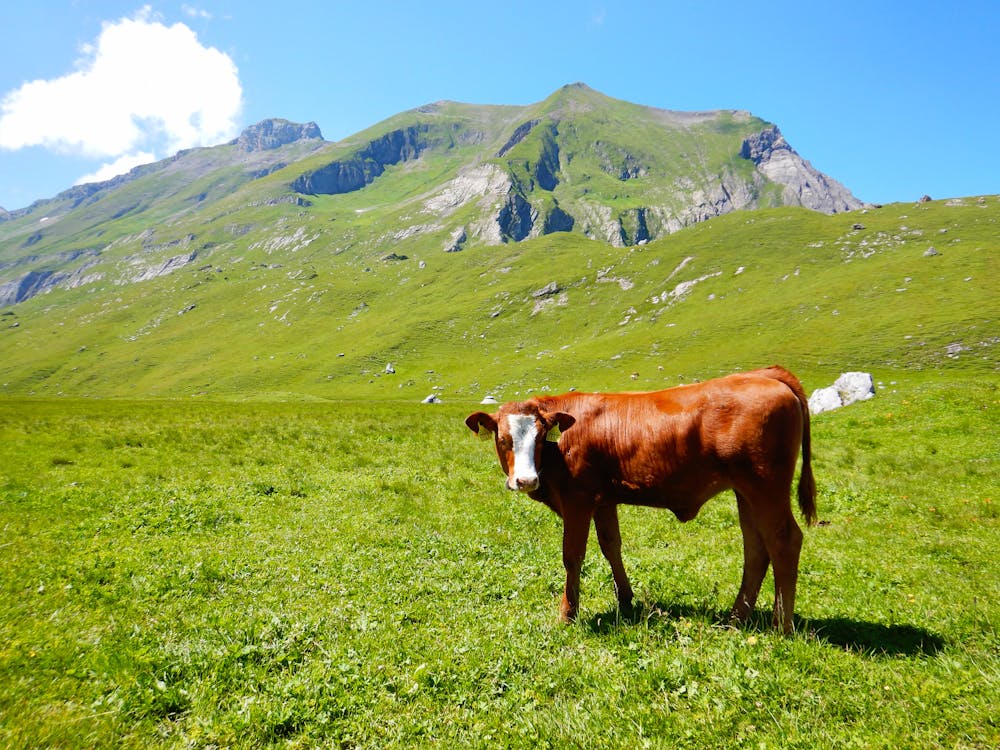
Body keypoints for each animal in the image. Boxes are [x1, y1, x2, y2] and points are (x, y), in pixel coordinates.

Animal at [464, 364, 816, 636]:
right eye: (503, 439)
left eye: (539, 438)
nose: (526, 480)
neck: (560, 447)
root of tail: (765, 374)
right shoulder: (604, 501)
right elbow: (611, 546)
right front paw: (625, 599)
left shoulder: (578, 500)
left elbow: (572, 556)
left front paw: (568, 613)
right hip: (746, 493)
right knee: (756, 548)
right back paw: (735, 618)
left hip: (766, 487)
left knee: (784, 541)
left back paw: (781, 627)